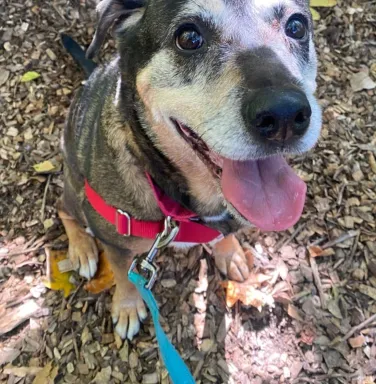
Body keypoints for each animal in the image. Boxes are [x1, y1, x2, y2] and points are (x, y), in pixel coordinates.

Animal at [58, 0, 320, 340]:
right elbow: (123, 274)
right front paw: (127, 306)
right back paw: (82, 249)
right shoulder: (115, 239)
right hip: (75, 187)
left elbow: (224, 236)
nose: (284, 115)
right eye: (189, 37)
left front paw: (231, 254)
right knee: (64, 210)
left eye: (296, 26)